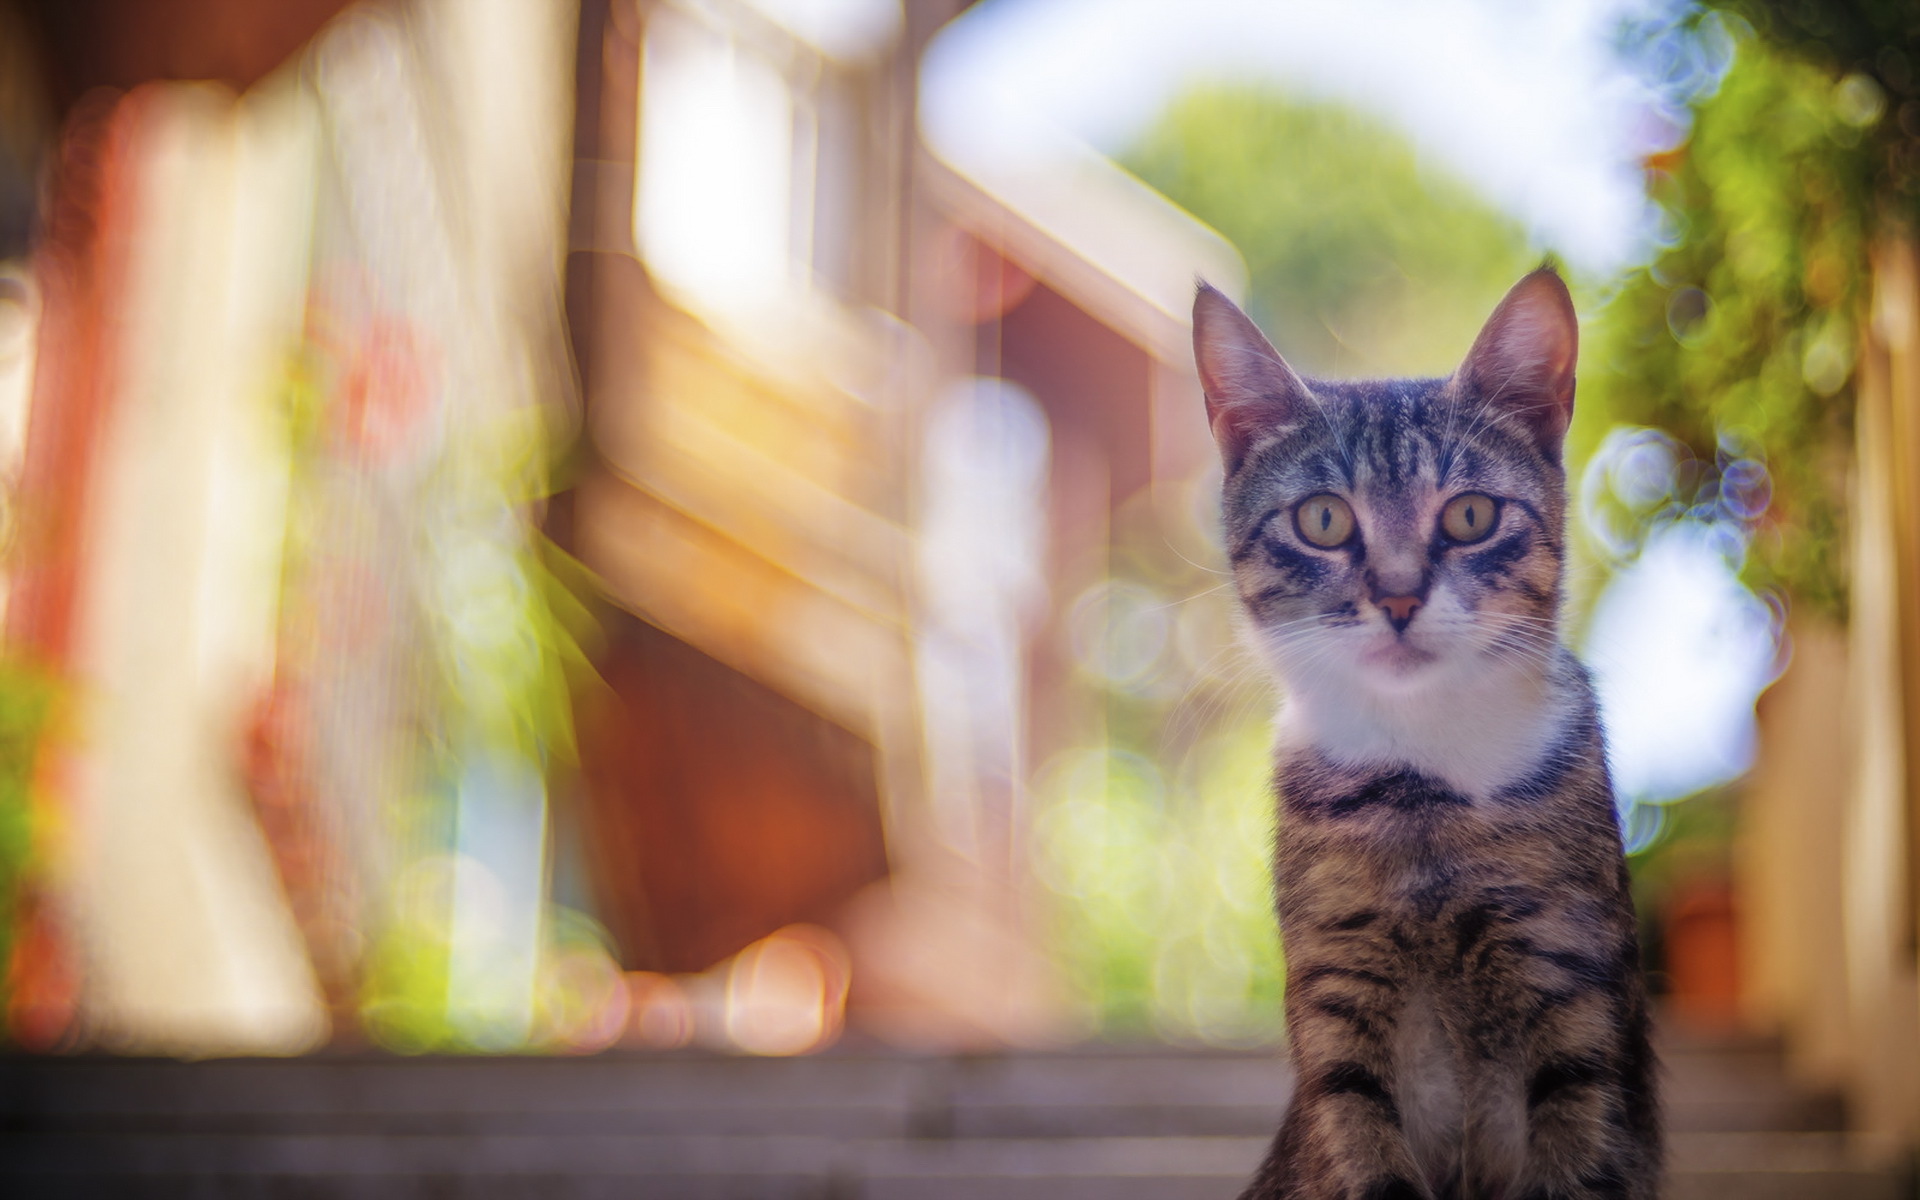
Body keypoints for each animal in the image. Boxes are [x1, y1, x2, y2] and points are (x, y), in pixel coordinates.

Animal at [1190, 268, 1658, 1198]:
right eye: (1324, 520)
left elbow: (1576, 1150)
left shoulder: (1569, 981)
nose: (1400, 596)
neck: (1422, 781)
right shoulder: (1339, 996)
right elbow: (1366, 1141)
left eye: (1471, 515)